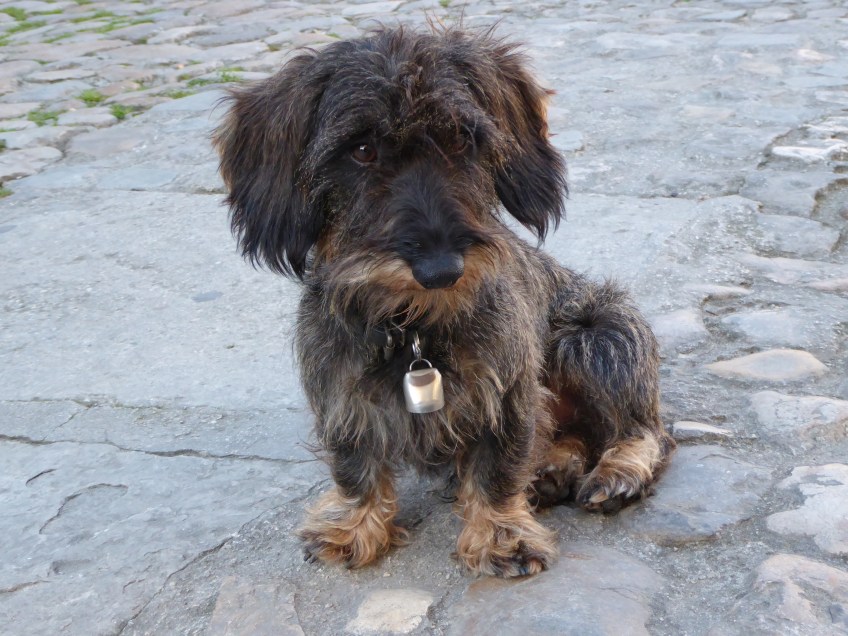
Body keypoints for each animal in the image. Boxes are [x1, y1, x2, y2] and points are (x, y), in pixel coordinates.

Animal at [214, 25, 675, 578]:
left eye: (461, 139)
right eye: (362, 150)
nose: (442, 270)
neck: (412, 327)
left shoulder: (508, 392)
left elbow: (499, 467)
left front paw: (501, 535)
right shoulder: (339, 395)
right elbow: (355, 465)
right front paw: (354, 526)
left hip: (598, 334)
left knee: (645, 429)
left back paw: (616, 472)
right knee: (578, 435)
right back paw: (552, 467)